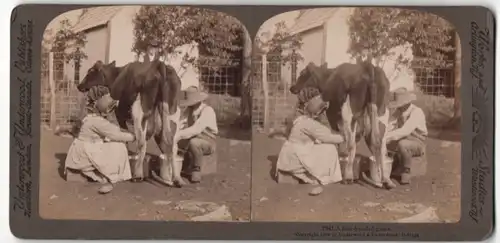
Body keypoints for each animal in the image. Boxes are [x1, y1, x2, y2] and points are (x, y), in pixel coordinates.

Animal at [74, 59, 184, 187]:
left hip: (139, 110)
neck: (116, 75)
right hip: (171, 111)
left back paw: (138, 175)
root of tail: (159, 63)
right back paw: (176, 179)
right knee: (170, 141)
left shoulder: (119, 114)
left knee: (142, 141)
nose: (79, 86)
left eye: (90, 72)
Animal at [292, 61, 396, 190]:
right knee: (380, 144)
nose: (292, 88)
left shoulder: (333, 114)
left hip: (348, 111)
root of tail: (368, 66)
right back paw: (385, 180)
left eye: (302, 73)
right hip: (382, 112)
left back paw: (348, 177)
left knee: (351, 143)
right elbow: (357, 138)